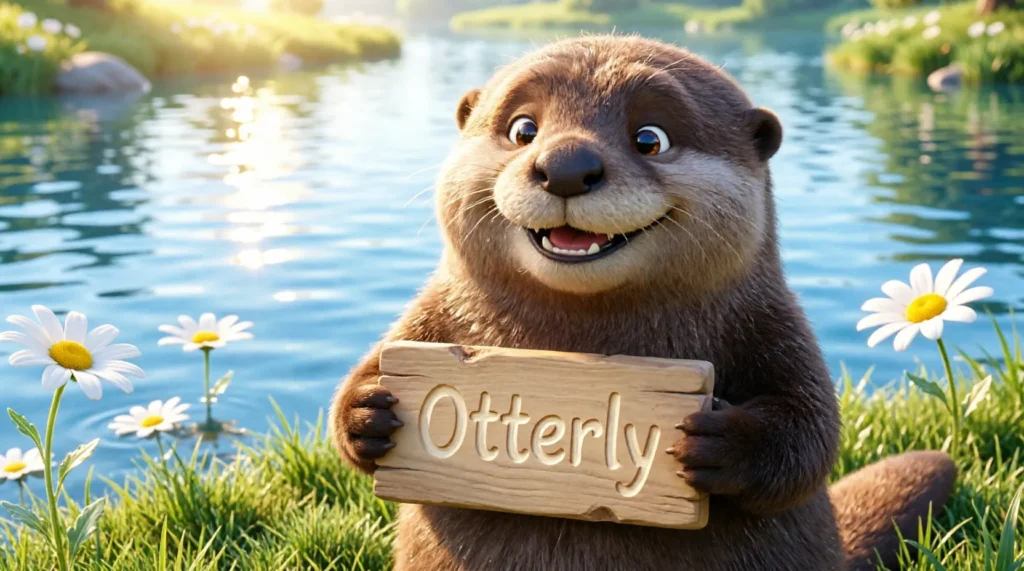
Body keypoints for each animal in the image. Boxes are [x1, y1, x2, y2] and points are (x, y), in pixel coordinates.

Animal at [331, 35, 957, 571]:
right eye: (523, 129)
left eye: (650, 138)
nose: (565, 166)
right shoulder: (432, 313)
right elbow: (358, 385)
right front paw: (368, 409)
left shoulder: (776, 323)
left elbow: (810, 434)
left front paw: (717, 442)